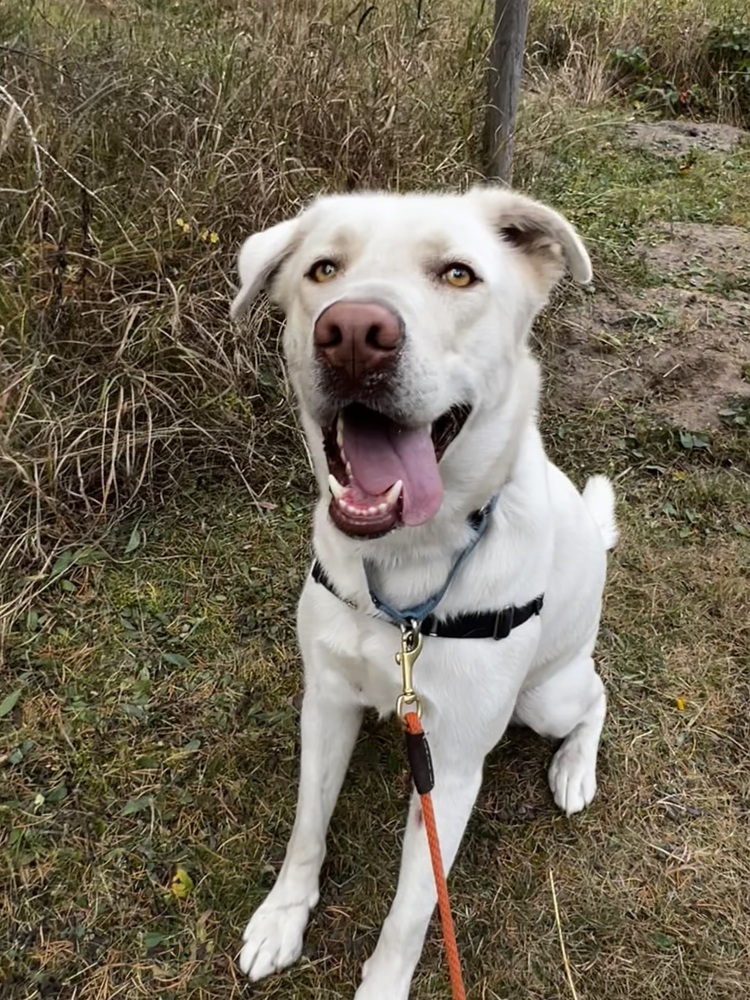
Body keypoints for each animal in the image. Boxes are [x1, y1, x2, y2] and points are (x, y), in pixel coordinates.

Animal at [232, 186, 620, 992]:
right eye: (324, 268)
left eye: (458, 274)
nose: (352, 333)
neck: (406, 563)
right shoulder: (327, 700)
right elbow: (306, 829)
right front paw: (283, 918)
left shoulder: (456, 762)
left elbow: (412, 910)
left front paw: (382, 985)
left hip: (545, 698)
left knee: (597, 695)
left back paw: (574, 768)